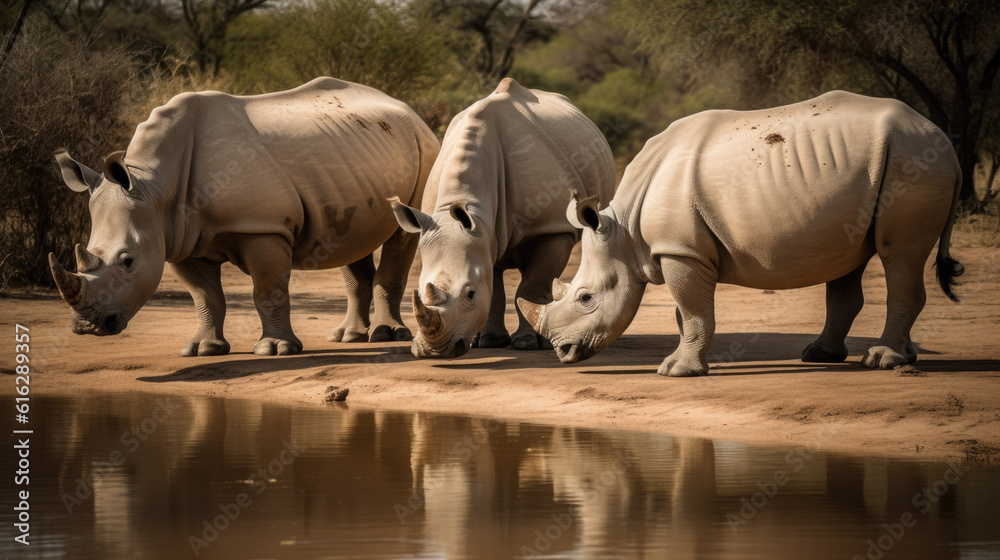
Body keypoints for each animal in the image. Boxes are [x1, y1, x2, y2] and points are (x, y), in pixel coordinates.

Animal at [50, 77, 439, 356]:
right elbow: (204, 296)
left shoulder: (261, 227)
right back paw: (347, 338)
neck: (155, 187)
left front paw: (276, 350)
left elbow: (267, 289)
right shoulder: (178, 236)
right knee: (351, 238)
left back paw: (385, 336)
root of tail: (408, 110)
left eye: (128, 262)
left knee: (402, 235)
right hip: (356, 154)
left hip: (425, 149)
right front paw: (203, 350)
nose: (87, 326)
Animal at [390, 78, 616, 358]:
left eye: (470, 294)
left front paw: (528, 343)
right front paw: (490, 341)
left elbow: (530, 286)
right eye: (420, 291)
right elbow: (494, 289)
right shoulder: (482, 233)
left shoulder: (552, 227)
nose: (435, 351)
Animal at [518, 91, 963, 376]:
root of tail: (944, 141)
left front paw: (675, 372)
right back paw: (831, 356)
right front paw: (686, 363)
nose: (561, 352)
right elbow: (685, 313)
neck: (624, 232)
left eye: (585, 298)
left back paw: (883, 360)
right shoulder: (685, 249)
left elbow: (693, 310)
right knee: (851, 260)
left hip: (912, 161)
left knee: (898, 254)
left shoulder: (680, 249)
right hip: (884, 169)